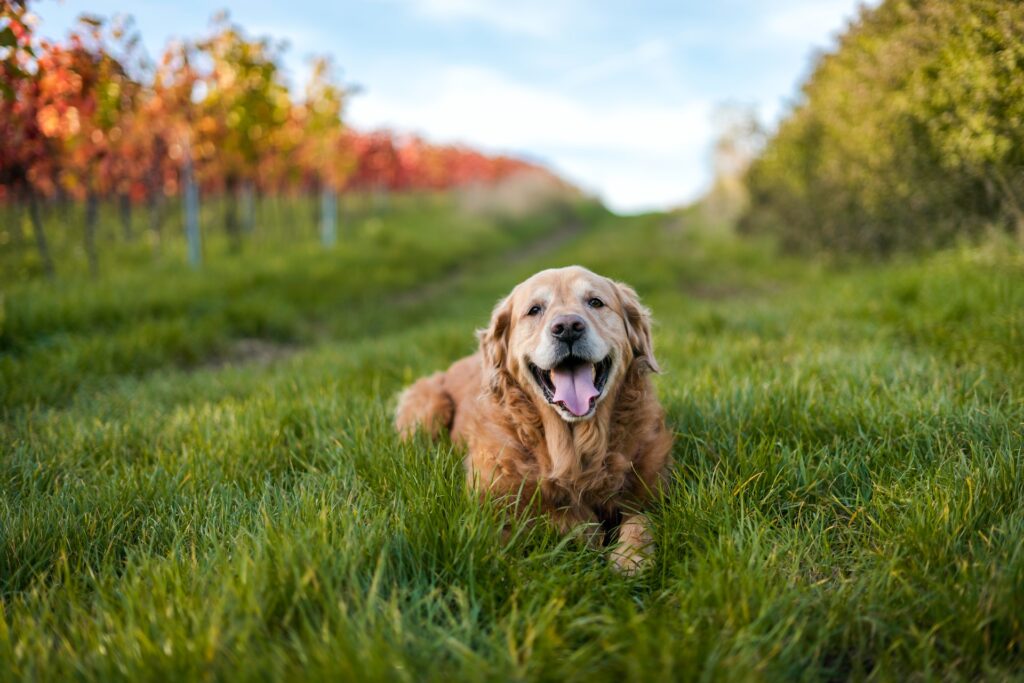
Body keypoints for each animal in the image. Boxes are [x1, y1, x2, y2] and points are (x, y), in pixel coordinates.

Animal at [393, 264, 671, 573]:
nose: (568, 327)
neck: (571, 449)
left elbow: (642, 518)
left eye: (596, 302)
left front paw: (631, 557)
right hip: (429, 405)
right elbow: (541, 520)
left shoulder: (654, 490)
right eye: (535, 310)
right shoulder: (489, 504)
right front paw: (586, 532)